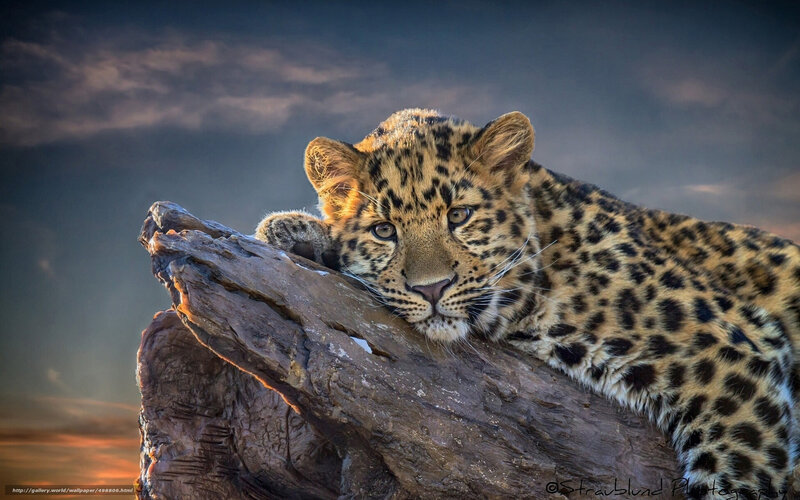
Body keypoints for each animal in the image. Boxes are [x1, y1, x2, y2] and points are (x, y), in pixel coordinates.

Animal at [255, 109, 800, 498]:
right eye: (384, 230)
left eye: (460, 215)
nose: (431, 288)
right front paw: (294, 231)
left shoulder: (734, 353)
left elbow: (738, 476)